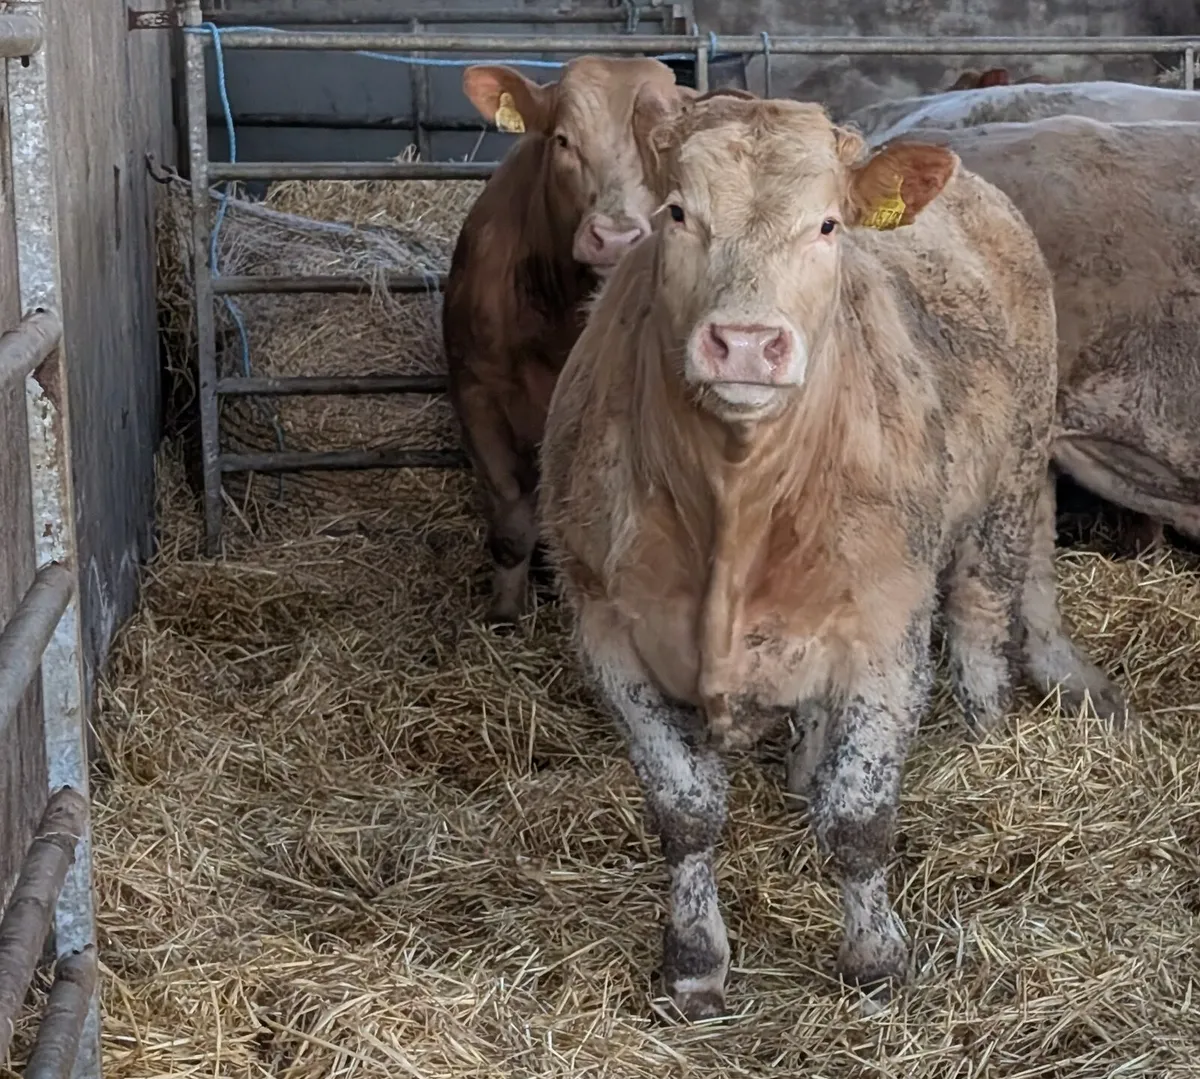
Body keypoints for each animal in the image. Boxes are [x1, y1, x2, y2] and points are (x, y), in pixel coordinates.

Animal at [443, 57, 694, 625]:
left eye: (666, 146)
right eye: (562, 140)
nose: (616, 237)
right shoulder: (475, 391)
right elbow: (512, 521)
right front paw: (504, 615)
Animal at [538, 93, 1129, 1019]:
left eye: (826, 225)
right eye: (677, 213)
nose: (746, 342)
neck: (738, 504)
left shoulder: (886, 630)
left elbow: (860, 818)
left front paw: (876, 958)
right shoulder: (608, 629)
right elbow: (685, 812)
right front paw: (695, 960)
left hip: (1006, 491)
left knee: (980, 620)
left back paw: (985, 732)